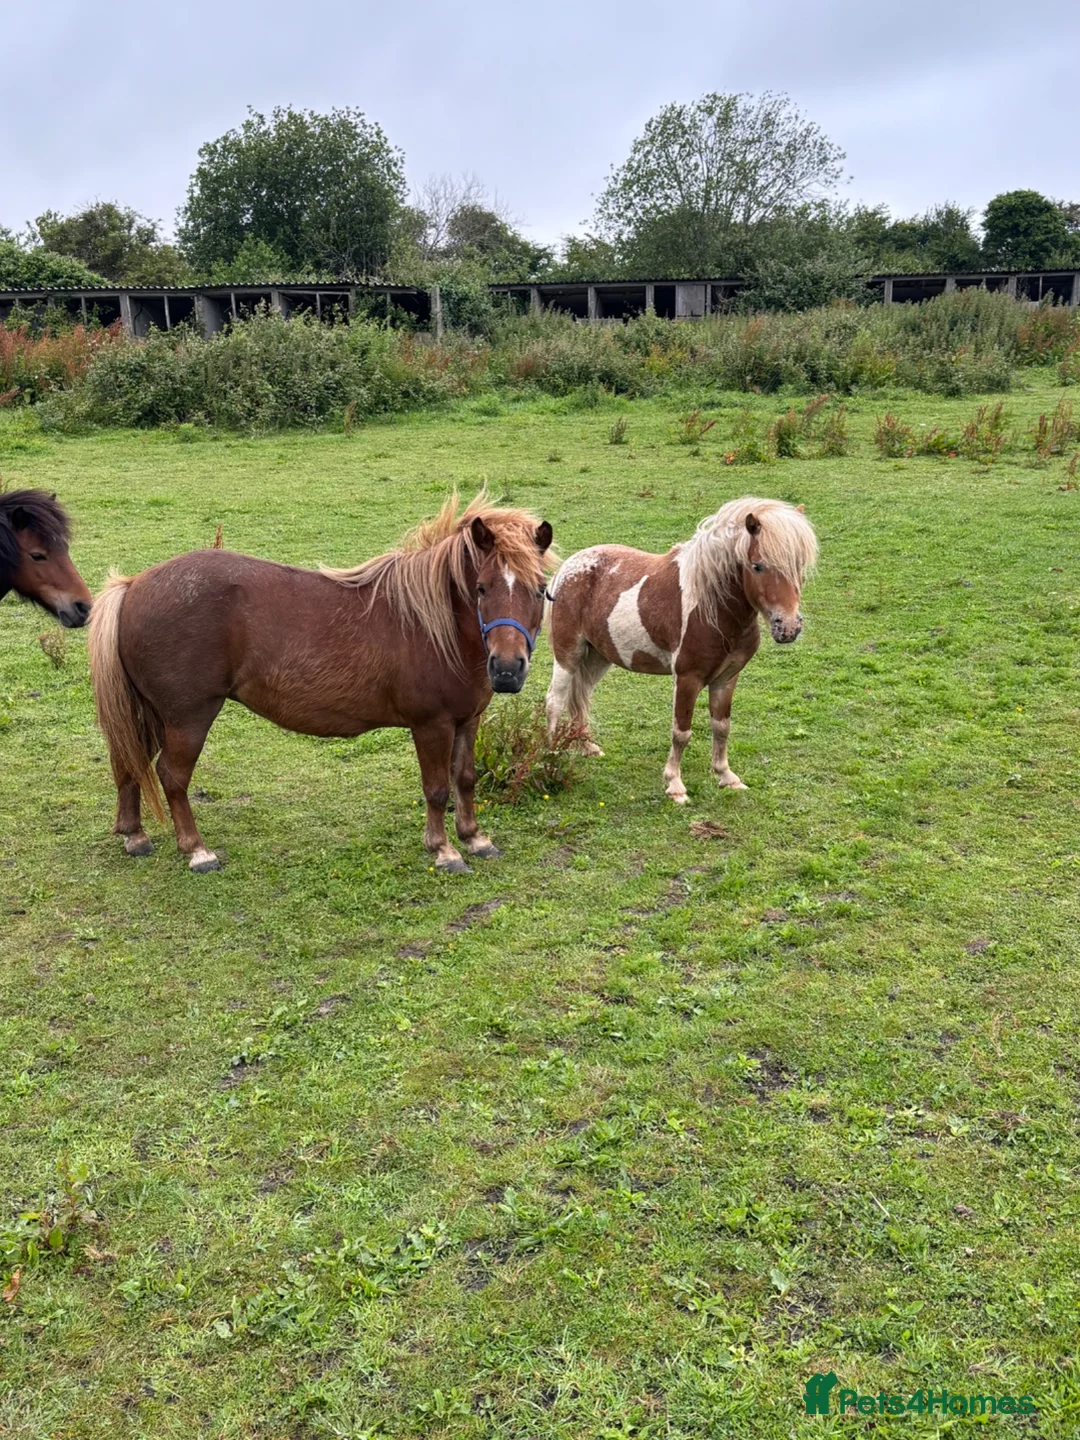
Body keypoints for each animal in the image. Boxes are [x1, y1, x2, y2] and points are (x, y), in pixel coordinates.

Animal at [88, 493, 555, 874]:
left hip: (152, 714)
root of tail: (133, 585)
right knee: (172, 776)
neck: (434, 626)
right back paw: (197, 850)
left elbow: (466, 779)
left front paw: (474, 837)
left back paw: (134, 835)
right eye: (481, 588)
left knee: (129, 762)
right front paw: (443, 850)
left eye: (539, 589)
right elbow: (438, 789)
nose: (507, 669)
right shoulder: (432, 725)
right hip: (187, 718)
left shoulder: (467, 719)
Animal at [545, 496, 818, 803]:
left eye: (799, 565)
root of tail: (568, 567)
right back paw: (549, 755)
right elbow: (681, 732)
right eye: (757, 566)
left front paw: (726, 777)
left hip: (598, 657)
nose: (789, 628)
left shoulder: (726, 679)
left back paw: (588, 747)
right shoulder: (688, 679)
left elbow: (721, 727)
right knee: (555, 699)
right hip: (568, 654)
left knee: (580, 697)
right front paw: (675, 785)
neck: (713, 608)